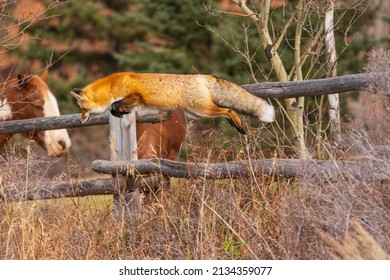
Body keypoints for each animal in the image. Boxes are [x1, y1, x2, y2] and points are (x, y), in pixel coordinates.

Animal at [71, 72, 276, 133]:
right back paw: (236, 126)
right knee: (227, 110)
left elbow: (116, 104)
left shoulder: (135, 96)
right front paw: (121, 112)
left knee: (228, 110)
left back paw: (240, 127)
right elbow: (116, 108)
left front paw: (119, 110)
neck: (112, 87)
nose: (80, 121)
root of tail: (202, 76)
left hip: (202, 110)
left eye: (83, 109)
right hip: (197, 113)